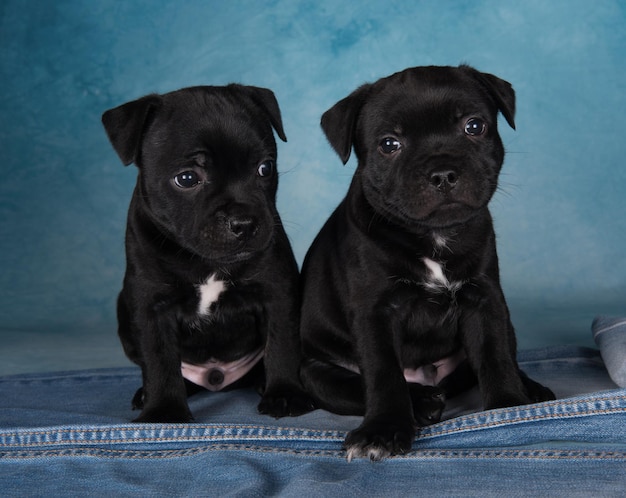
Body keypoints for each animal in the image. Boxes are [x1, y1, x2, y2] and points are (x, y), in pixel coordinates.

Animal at [102, 83, 312, 422]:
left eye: (265, 168)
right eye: (187, 178)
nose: (244, 222)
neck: (206, 261)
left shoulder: (277, 290)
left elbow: (281, 344)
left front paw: (285, 393)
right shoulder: (151, 305)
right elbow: (159, 360)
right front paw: (163, 411)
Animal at [300, 65, 552, 460]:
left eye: (474, 126)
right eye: (389, 144)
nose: (443, 173)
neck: (434, 235)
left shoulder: (485, 299)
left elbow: (495, 356)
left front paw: (508, 409)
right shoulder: (375, 313)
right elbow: (383, 375)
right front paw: (383, 430)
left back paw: (530, 389)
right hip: (316, 373)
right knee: (353, 386)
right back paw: (422, 401)